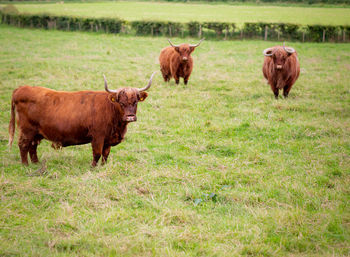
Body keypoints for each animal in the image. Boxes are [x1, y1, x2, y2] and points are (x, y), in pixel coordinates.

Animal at [8, 71, 156, 166]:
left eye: (135, 102)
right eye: (121, 102)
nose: (130, 117)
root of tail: (21, 89)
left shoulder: (108, 139)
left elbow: (105, 154)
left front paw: (103, 166)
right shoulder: (97, 136)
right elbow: (97, 153)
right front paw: (93, 167)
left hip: (36, 133)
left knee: (32, 147)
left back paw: (36, 163)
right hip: (27, 130)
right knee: (23, 145)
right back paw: (25, 165)